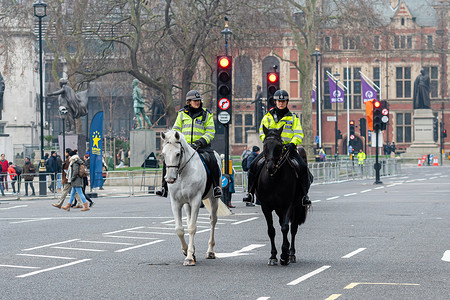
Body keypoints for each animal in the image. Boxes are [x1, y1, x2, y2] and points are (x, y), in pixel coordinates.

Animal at [161, 130, 230, 266]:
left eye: (178, 153)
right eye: (164, 154)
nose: (170, 179)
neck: (183, 173)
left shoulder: (195, 200)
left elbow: (192, 228)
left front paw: (189, 257)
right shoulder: (176, 202)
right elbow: (180, 229)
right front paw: (187, 251)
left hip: (213, 198)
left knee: (213, 220)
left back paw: (210, 251)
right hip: (187, 204)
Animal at [255, 125, 308, 266]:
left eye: (280, 146)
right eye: (264, 145)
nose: (270, 167)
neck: (274, 179)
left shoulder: (288, 205)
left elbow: (285, 228)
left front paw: (284, 255)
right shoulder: (266, 207)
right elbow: (271, 230)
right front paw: (273, 256)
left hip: (297, 206)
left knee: (293, 228)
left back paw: (291, 254)